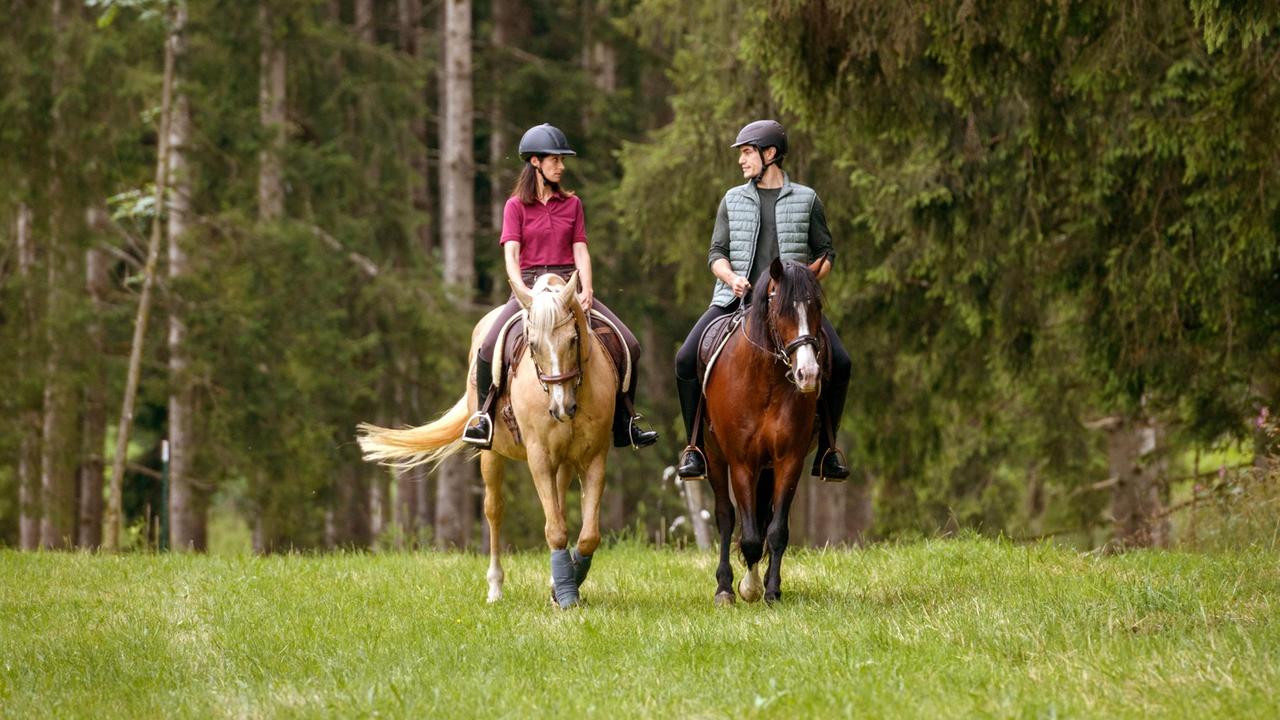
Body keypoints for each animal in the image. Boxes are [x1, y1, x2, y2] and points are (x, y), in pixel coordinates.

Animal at [355, 271, 614, 607]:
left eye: (573, 339)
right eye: (533, 344)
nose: (561, 407)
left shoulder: (594, 457)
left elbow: (588, 535)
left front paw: (563, 588)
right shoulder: (539, 457)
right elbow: (555, 529)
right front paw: (567, 595)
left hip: (564, 463)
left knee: (557, 506)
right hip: (491, 455)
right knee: (494, 510)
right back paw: (495, 588)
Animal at [706, 254, 824, 602]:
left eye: (817, 308)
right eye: (781, 309)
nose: (808, 374)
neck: (767, 380)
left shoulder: (789, 460)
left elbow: (776, 530)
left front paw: (771, 591)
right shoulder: (742, 462)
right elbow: (748, 536)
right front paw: (748, 587)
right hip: (713, 455)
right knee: (725, 515)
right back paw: (724, 587)